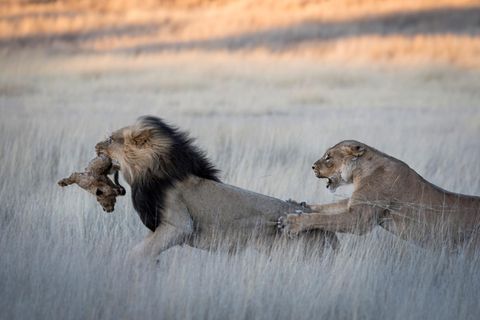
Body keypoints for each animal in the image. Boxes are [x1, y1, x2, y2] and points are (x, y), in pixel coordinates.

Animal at [278, 141, 480, 251]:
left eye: (328, 156)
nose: (312, 166)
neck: (360, 172)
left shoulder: (360, 219)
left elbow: (323, 219)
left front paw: (292, 222)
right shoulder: (355, 203)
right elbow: (327, 208)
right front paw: (298, 203)